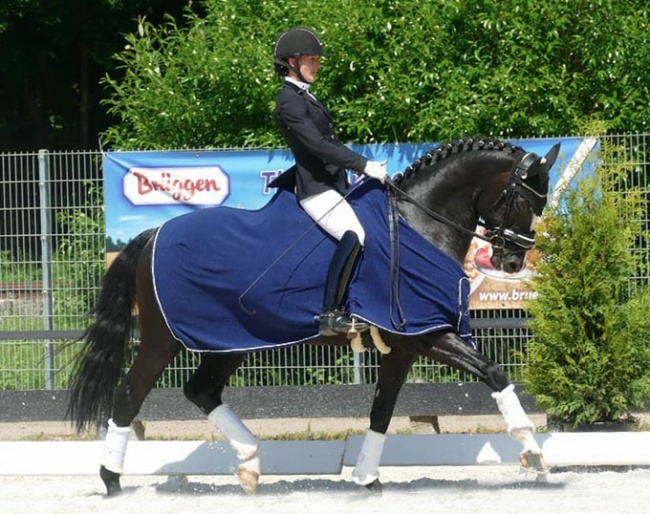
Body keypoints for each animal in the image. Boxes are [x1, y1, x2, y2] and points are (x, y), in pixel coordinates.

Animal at [68, 136, 560, 492]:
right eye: (524, 201)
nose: (513, 261)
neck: (417, 225)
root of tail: (153, 233)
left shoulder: (402, 346)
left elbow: (382, 411)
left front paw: (367, 478)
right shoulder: (427, 334)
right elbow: (495, 373)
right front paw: (533, 454)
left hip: (229, 339)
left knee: (201, 390)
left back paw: (250, 463)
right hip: (162, 339)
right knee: (129, 395)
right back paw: (111, 481)